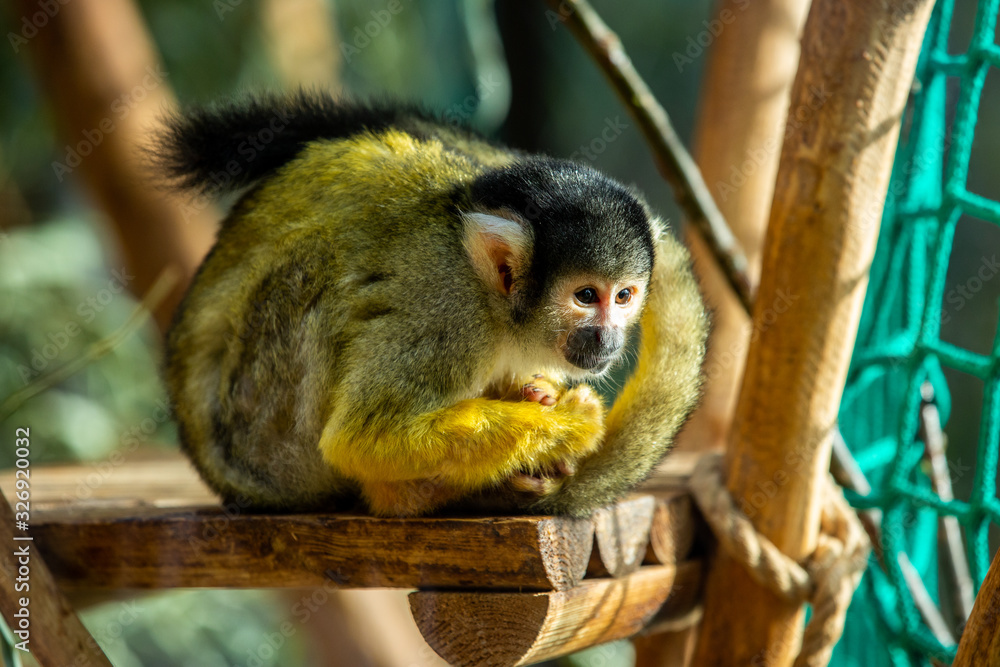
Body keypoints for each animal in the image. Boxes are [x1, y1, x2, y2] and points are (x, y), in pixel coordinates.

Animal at [158, 92, 708, 518]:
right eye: (586, 296)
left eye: (624, 296)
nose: (609, 336)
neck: (496, 307)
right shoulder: (447, 313)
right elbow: (360, 438)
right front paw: (564, 427)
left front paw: (542, 398)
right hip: (266, 445)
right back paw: (409, 496)